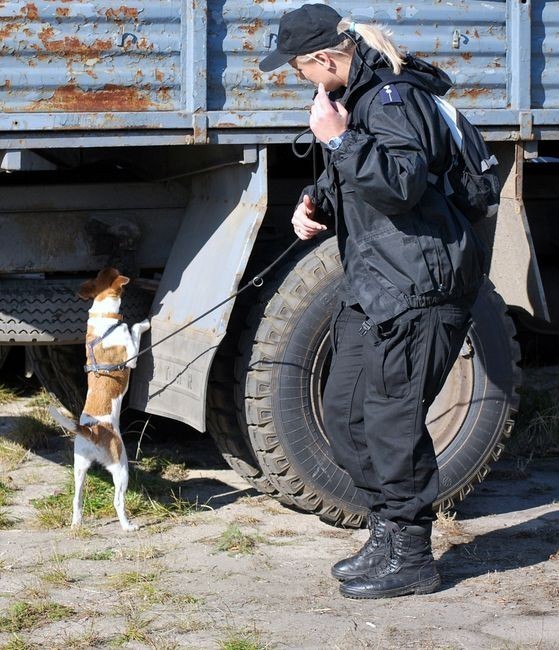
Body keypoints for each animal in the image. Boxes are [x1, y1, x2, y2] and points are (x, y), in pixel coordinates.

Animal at [49, 266, 150, 528]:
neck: (105, 316)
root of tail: (91, 431)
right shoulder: (131, 356)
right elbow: (134, 329)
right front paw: (144, 323)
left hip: (79, 468)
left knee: (77, 499)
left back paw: (76, 523)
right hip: (121, 467)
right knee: (118, 501)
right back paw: (127, 526)